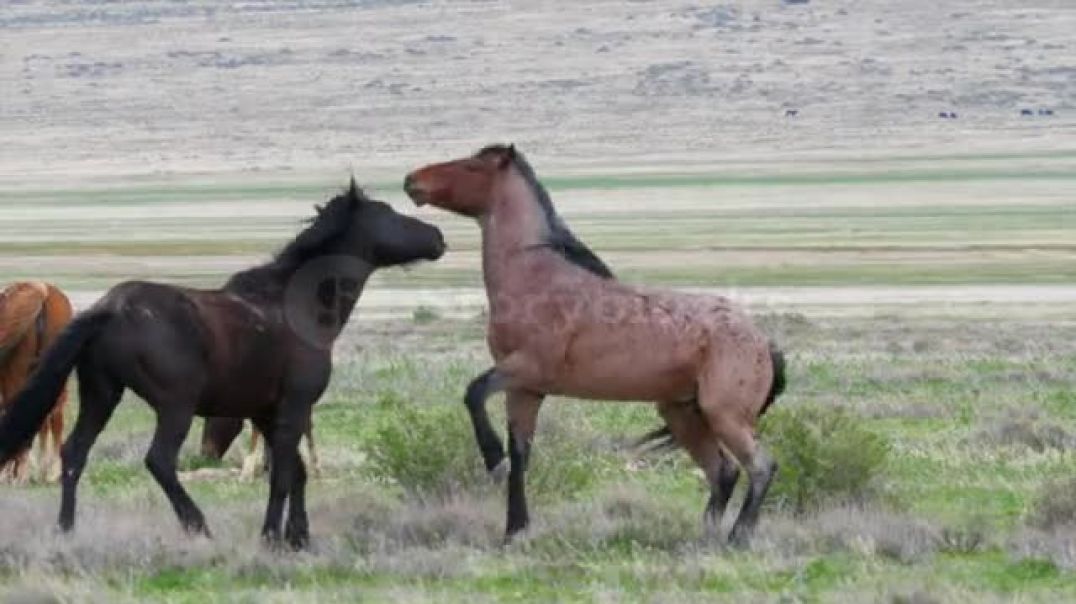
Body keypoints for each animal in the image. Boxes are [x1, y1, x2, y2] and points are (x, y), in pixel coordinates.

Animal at [406, 147, 787, 546]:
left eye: (471, 165)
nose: (412, 180)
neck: (538, 280)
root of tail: (764, 342)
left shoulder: (525, 368)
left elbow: (474, 392)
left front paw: (494, 461)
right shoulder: (525, 390)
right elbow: (521, 454)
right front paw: (514, 530)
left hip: (724, 416)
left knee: (761, 466)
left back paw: (737, 538)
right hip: (683, 415)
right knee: (722, 472)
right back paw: (703, 538)